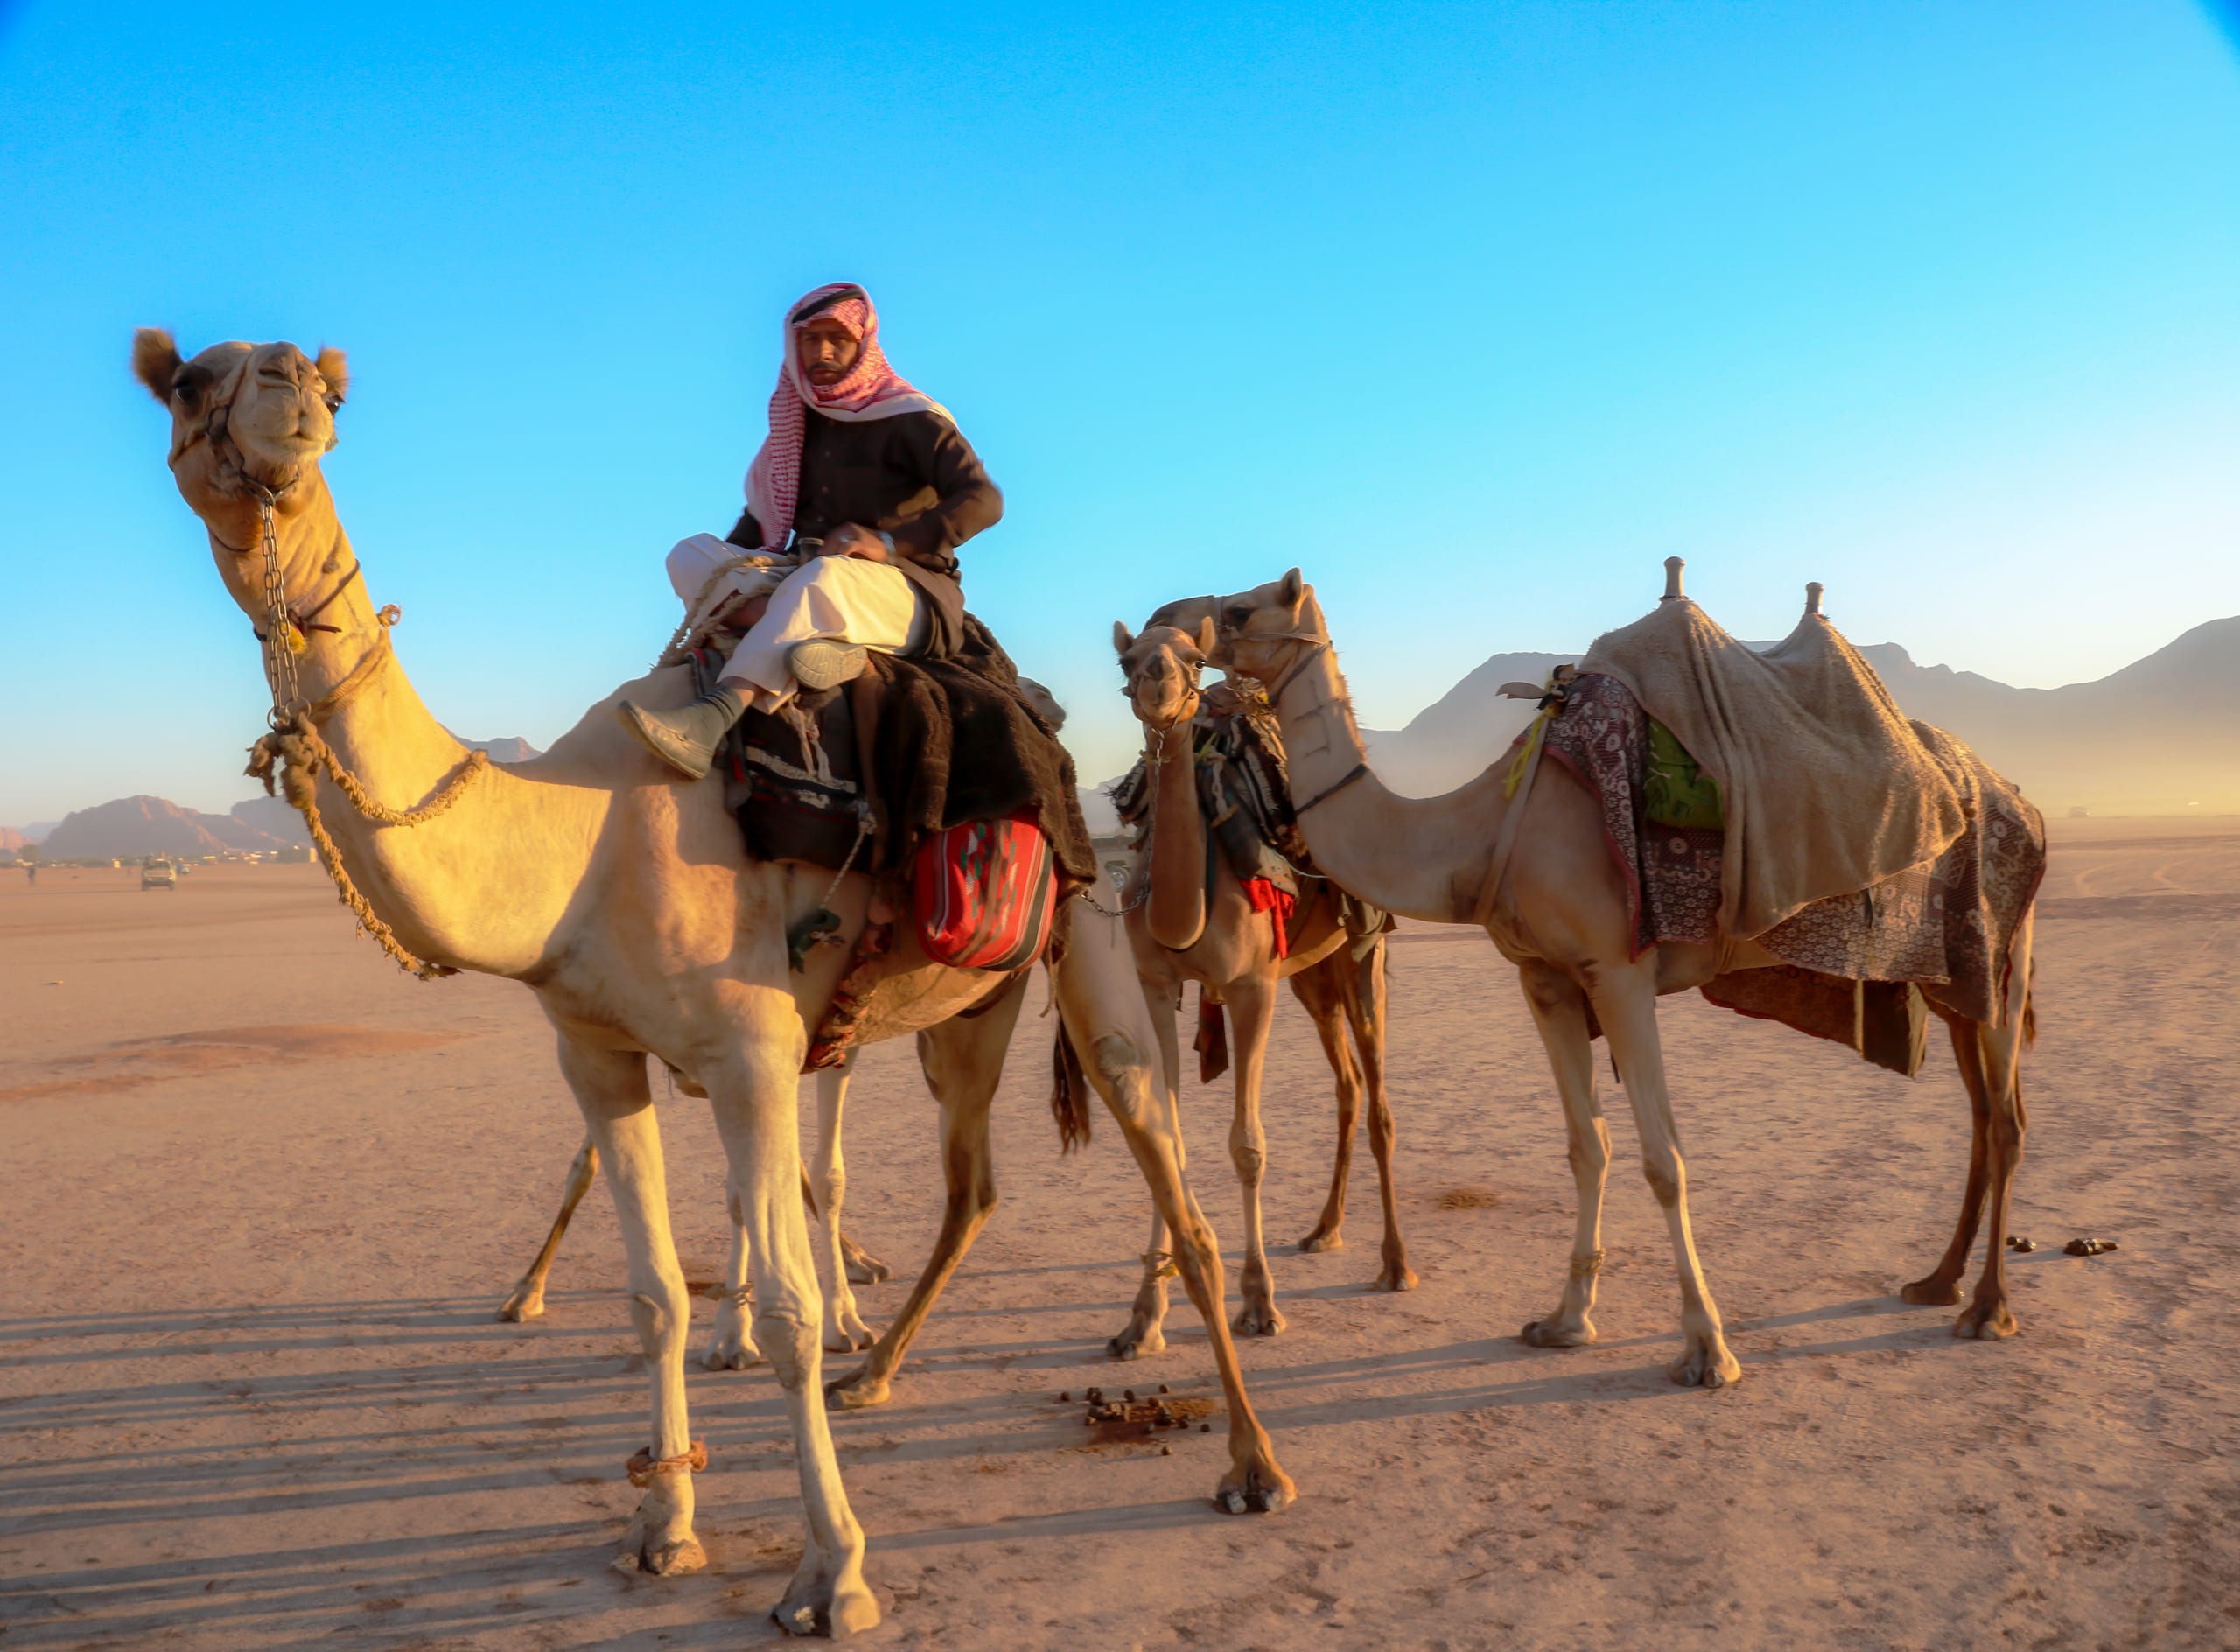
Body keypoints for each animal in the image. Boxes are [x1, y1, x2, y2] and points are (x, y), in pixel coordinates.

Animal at [131, 331, 1294, 1637]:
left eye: (326, 390)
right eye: (190, 382)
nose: (286, 389)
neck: (578, 844)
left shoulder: (748, 1053)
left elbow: (784, 1313)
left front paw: (833, 1574)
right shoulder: (596, 1053)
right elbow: (655, 1301)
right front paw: (663, 1528)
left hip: (1093, 939)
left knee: (1178, 1186)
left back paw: (1252, 1464)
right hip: (968, 1010)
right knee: (978, 1185)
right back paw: (877, 1373)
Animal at [1104, 619, 1413, 1355]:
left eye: (1193, 658)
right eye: (1127, 661)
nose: (1158, 681)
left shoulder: (1250, 987)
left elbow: (1248, 1146)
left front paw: (1258, 1302)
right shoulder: (1156, 984)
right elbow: (1166, 1139)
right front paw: (1143, 1317)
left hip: (1362, 951)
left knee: (1379, 1102)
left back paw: (1395, 1264)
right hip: (1311, 976)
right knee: (1347, 1087)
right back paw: (1324, 1229)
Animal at [1194, 570, 2038, 1388]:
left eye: (1240, 610)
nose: (1172, 625)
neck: (1482, 830)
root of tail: (2015, 796)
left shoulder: (1619, 971)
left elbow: (1664, 1159)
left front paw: (1707, 1349)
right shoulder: (1546, 978)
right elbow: (1586, 1145)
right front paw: (1565, 1321)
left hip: (2001, 948)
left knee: (2005, 1119)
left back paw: (1988, 1309)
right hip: (1951, 981)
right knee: (1982, 1111)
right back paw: (1937, 1282)